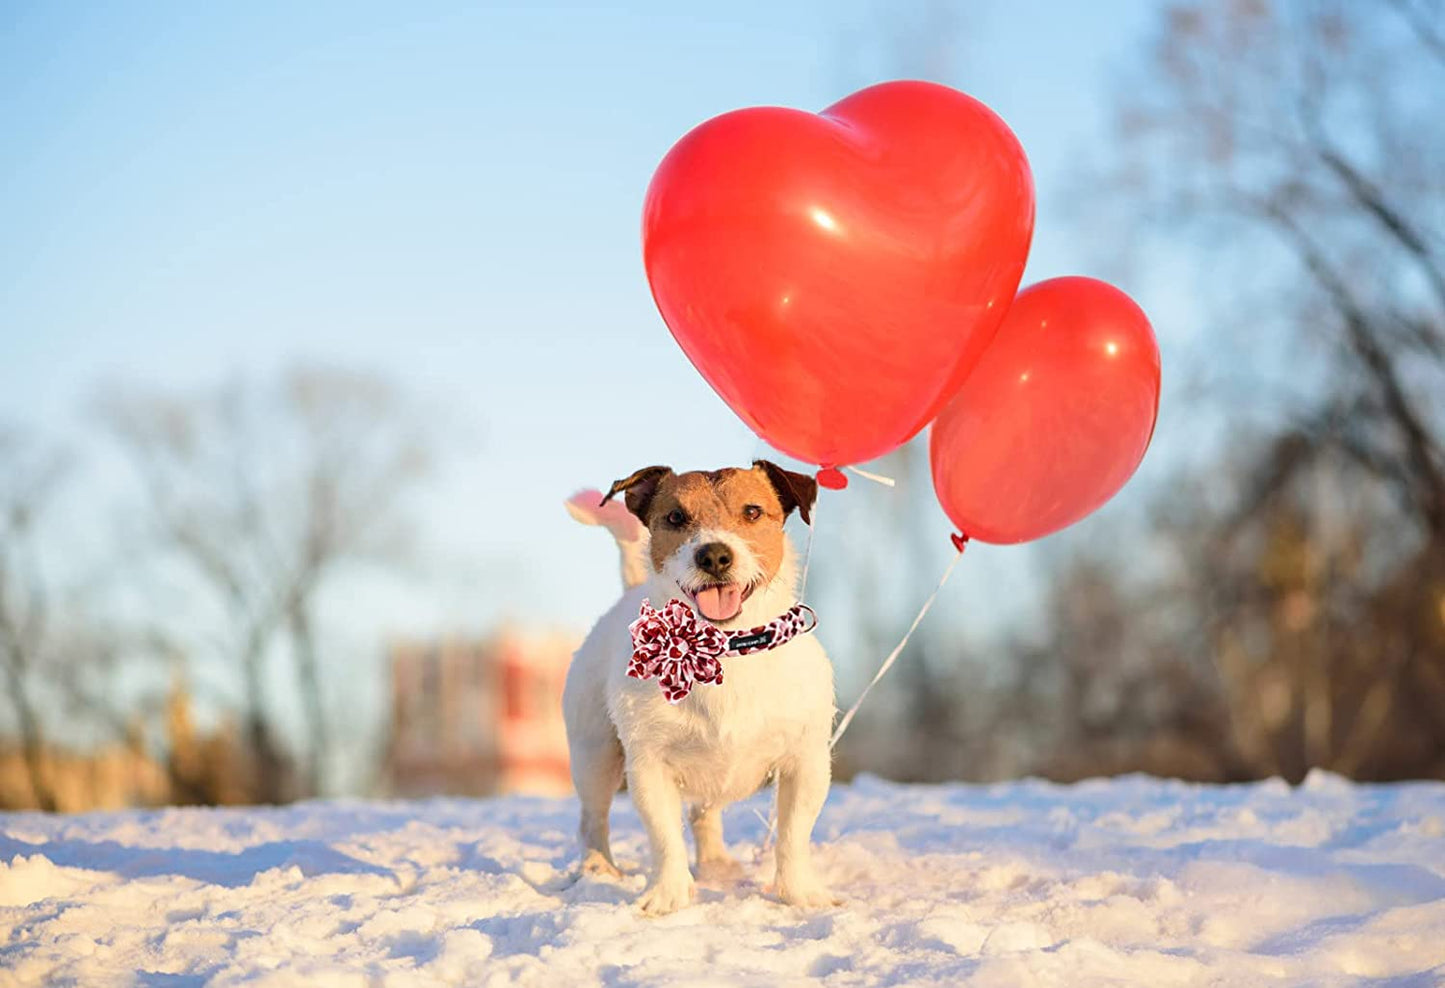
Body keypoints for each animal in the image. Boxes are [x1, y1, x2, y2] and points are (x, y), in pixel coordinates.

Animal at [560, 459, 838, 912]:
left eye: (753, 512)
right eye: (676, 517)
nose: (714, 555)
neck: (721, 649)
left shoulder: (806, 762)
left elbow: (793, 835)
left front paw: (801, 894)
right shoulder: (650, 767)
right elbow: (664, 839)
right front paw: (667, 897)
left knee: (704, 815)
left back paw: (716, 865)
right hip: (594, 753)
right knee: (592, 819)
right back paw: (597, 869)